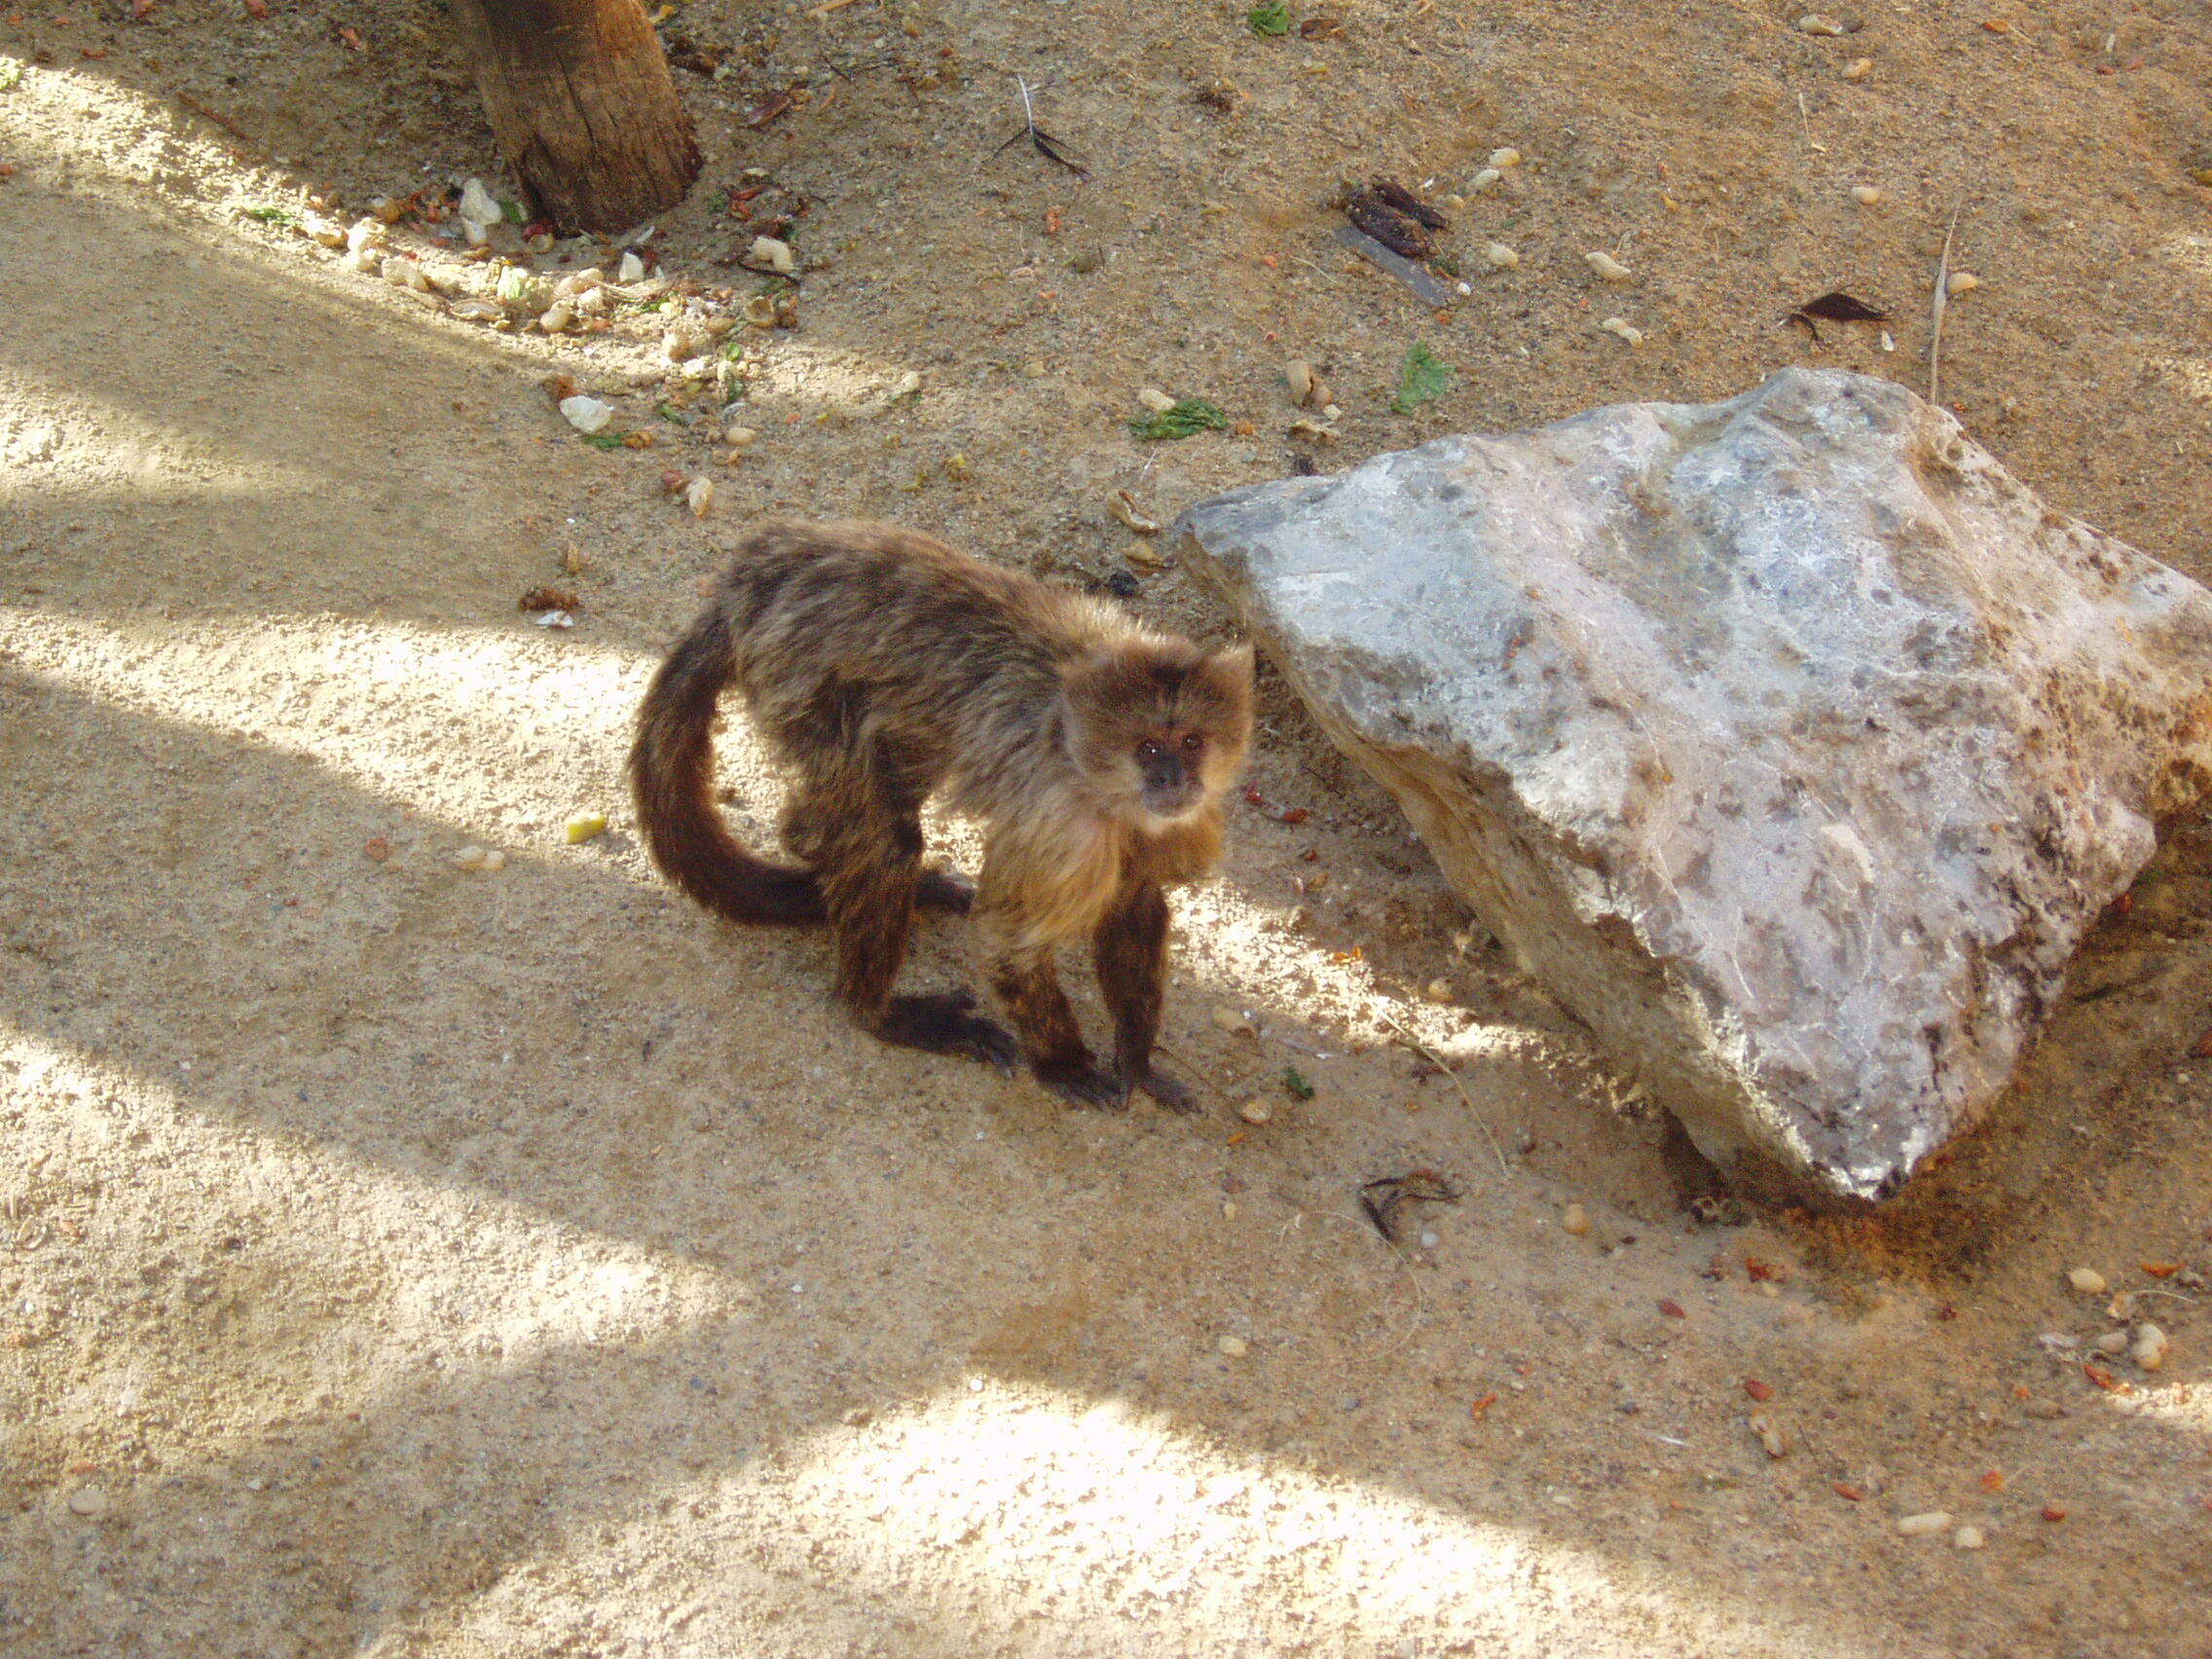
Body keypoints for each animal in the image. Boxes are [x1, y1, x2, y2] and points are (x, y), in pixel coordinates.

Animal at [632, 519, 1256, 1119]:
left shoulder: (1176, 820)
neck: (1095, 775)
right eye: (1149, 748)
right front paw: (1063, 1065)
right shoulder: (1061, 825)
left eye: (1192, 742)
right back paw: (876, 1010)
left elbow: (1135, 906)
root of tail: (754, 576)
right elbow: (1010, 944)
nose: (1174, 779)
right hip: (798, 678)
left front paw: (1138, 1059)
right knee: (885, 837)